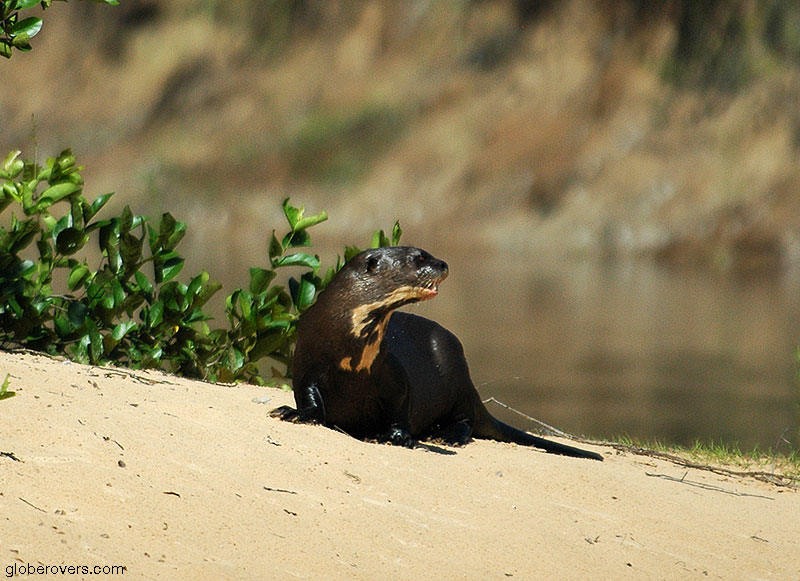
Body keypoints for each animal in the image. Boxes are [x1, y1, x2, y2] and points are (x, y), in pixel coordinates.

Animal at [271, 246, 603, 461]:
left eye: (426, 252)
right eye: (418, 258)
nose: (443, 263)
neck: (351, 353)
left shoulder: (393, 375)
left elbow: (401, 406)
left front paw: (399, 437)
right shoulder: (307, 362)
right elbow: (309, 396)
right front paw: (294, 412)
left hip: (455, 372)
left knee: (467, 418)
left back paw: (446, 435)